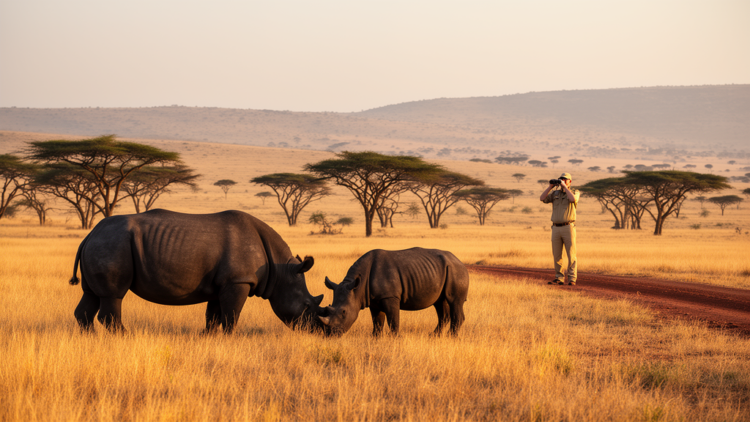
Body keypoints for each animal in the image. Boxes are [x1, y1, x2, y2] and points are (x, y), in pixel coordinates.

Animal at [70, 209, 324, 333]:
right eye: (307, 306)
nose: (322, 332)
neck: (281, 271)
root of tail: (89, 234)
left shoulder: (223, 283)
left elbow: (214, 316)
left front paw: (208, 337)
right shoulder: (238, 281)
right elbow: (231, 316)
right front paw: (230, 338)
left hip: (103, 244)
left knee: (91, 296)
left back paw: (90, 339)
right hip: (112, 245)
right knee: (113, 296)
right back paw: (126, 337)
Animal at [318, 247, 469, 336]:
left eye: (344, 312)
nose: (331, 334)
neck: (357, 288)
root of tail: (459, 260)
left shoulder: (390, 297)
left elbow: (393, 319)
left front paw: (394, 338)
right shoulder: (373, 300)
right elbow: (377, 321)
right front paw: (375, 338)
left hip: (456, 270)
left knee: (454, 301)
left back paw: (451, 336)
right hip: (441, 270)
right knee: (440, 303)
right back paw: (434, 336)